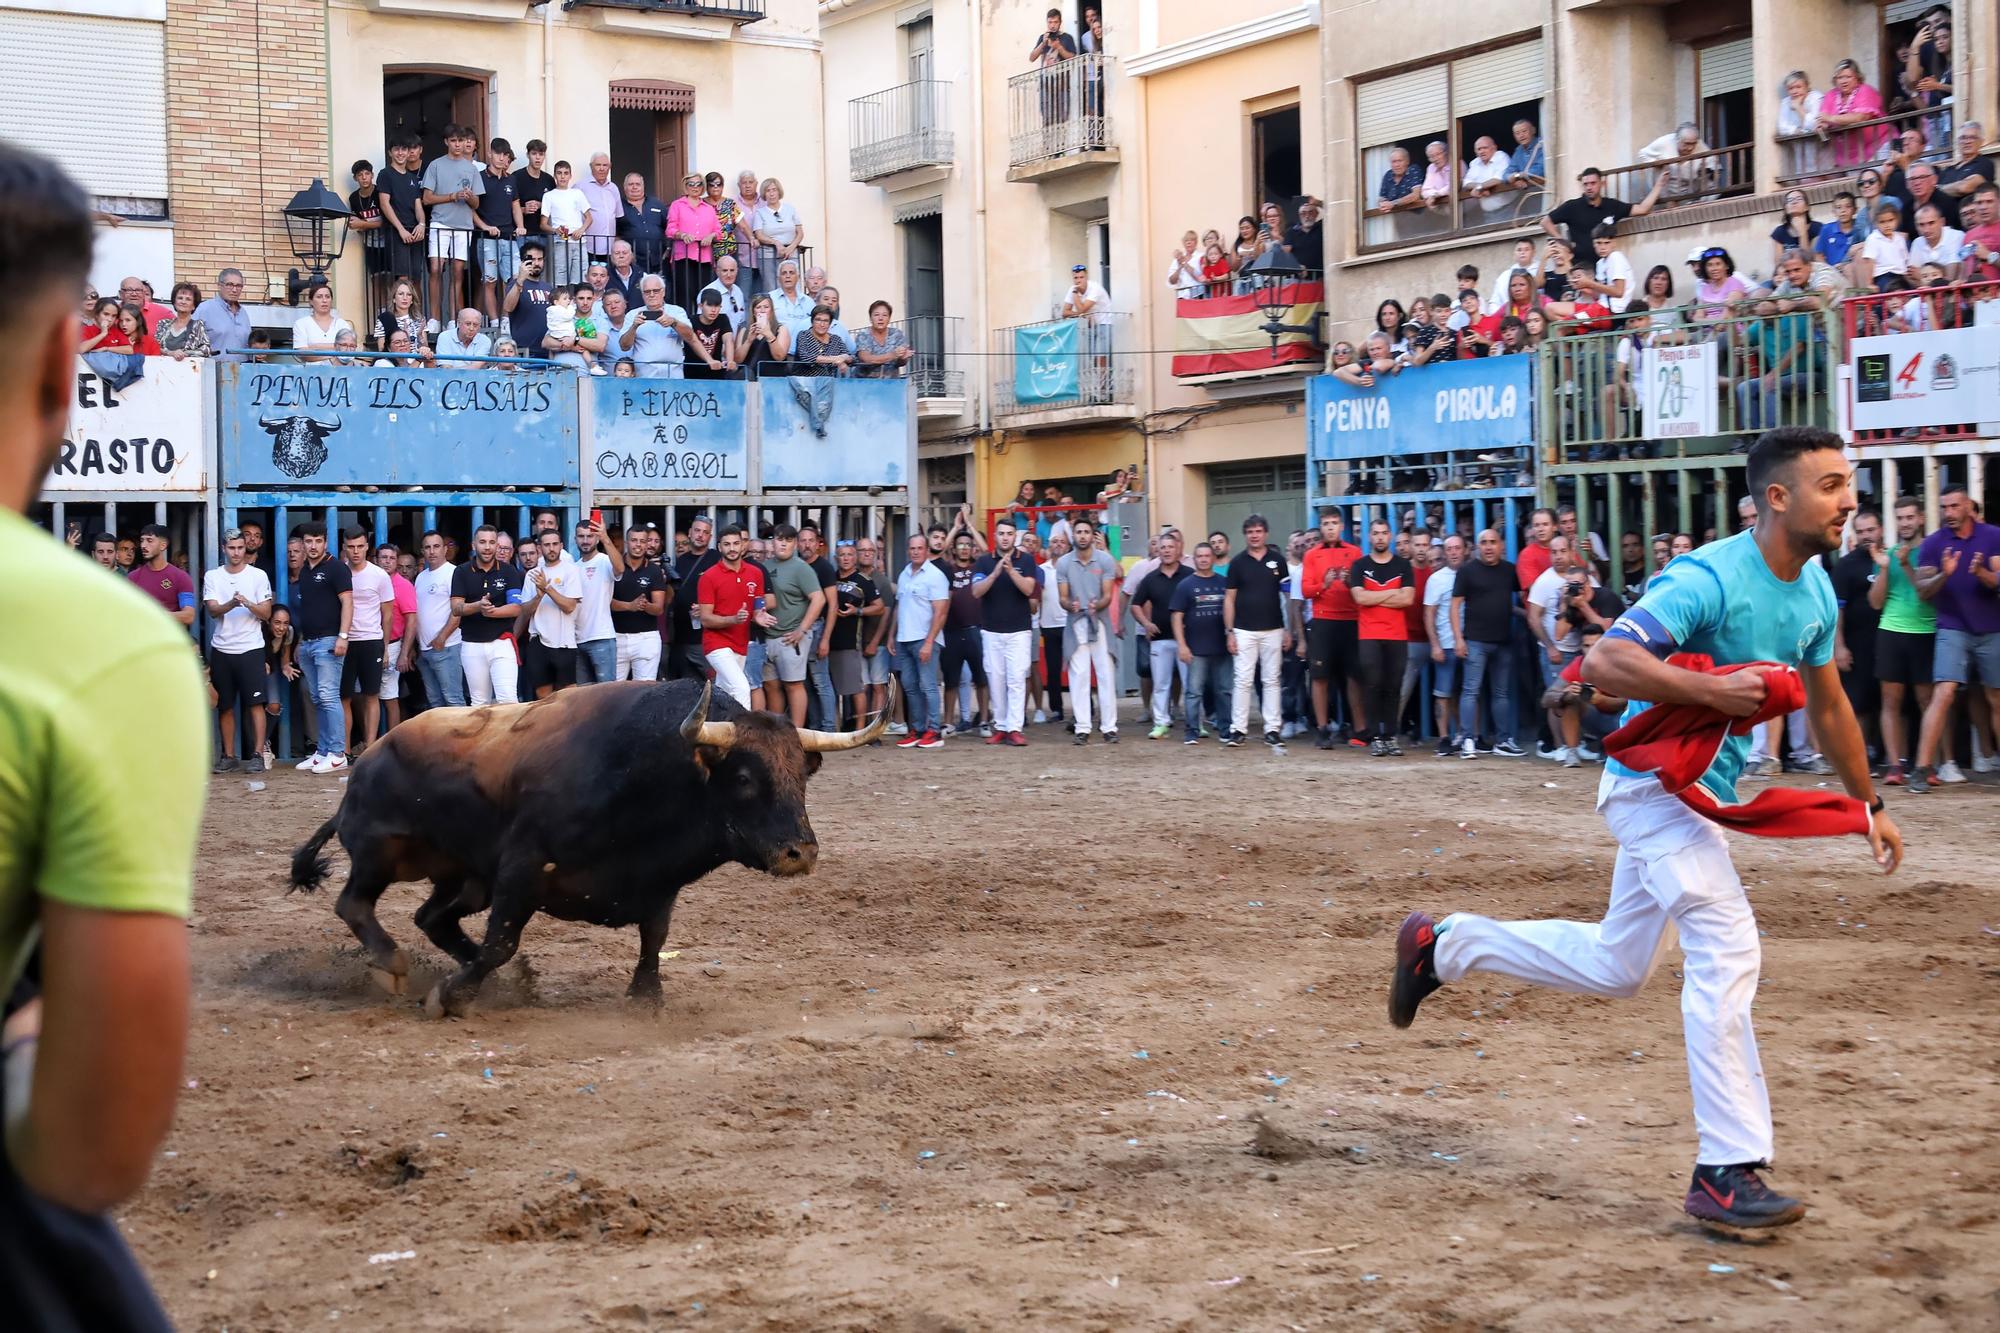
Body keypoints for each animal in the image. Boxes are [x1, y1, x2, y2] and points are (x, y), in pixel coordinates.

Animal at [290, 680, 892, 1012]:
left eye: (802, 775)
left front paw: (645, 999)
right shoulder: (521, 871)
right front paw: (452, 997)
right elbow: (500, 942)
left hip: (464, 878)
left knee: (431, 917)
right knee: (355, 904)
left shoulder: (657, 885)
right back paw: (393, 962)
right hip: (382, 853)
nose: (800, 853)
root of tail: (368, 759)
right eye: (744, 777)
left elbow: (654, 940)